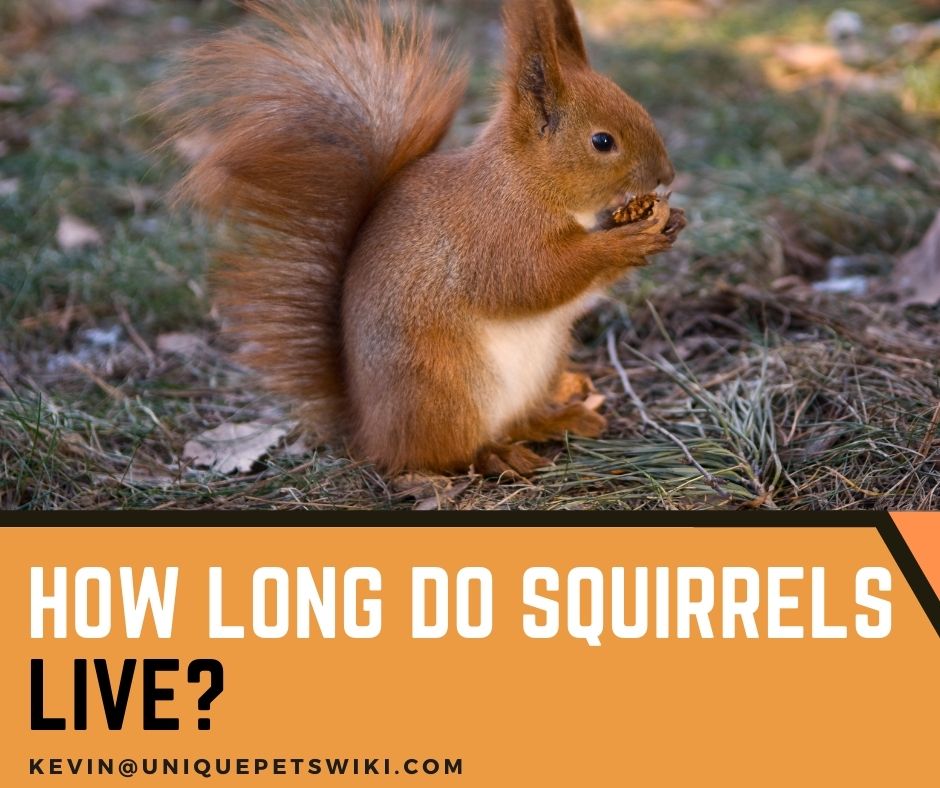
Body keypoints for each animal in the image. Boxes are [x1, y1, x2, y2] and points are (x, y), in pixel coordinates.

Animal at [164, 0, 685, 477]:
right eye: (602, 141)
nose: (666, 175)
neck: (528, 180)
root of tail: (368, 429)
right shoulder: (493, 233)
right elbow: (530, 279)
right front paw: (626, 240)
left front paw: (669, 222)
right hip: (444, 390)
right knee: (443, 453)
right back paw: (498, 454)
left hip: (542, 363)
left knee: (518, 420)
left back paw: (563, 418)